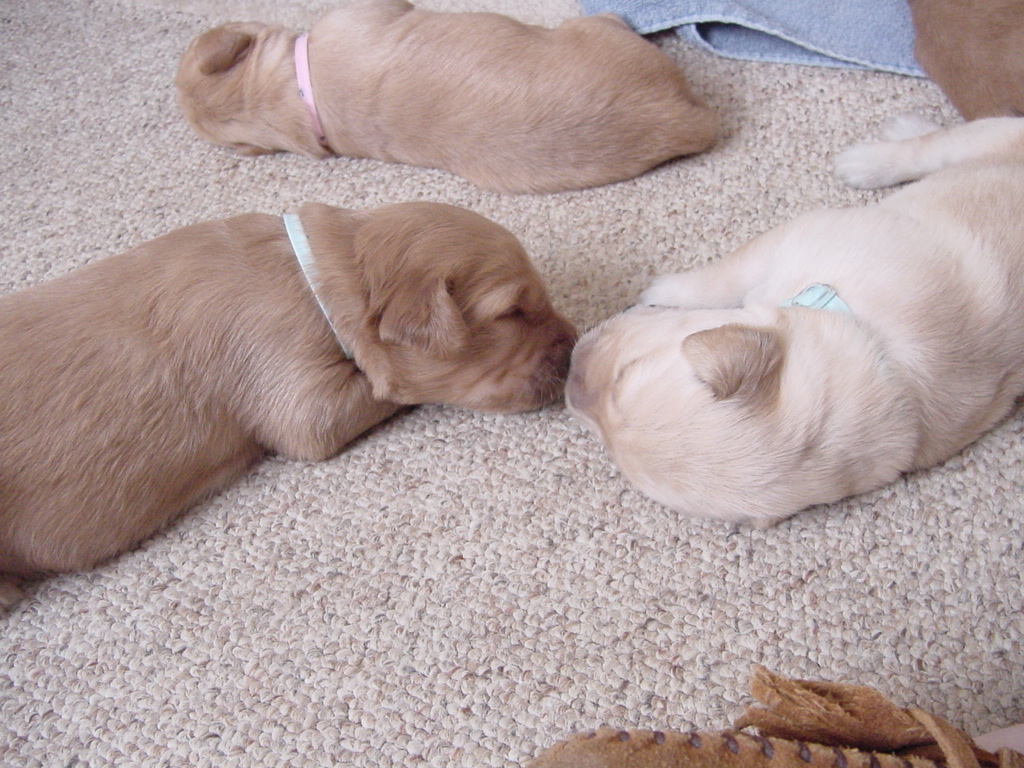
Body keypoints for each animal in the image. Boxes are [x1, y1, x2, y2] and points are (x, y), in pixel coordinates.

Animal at [569, 112, 1024, 524]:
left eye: (626, 372)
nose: (570, 373)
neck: (867, 336)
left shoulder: (803, 234)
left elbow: (726, 272)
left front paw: (663, 291)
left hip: (988, 141)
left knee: (938, 145)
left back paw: (866, 158)